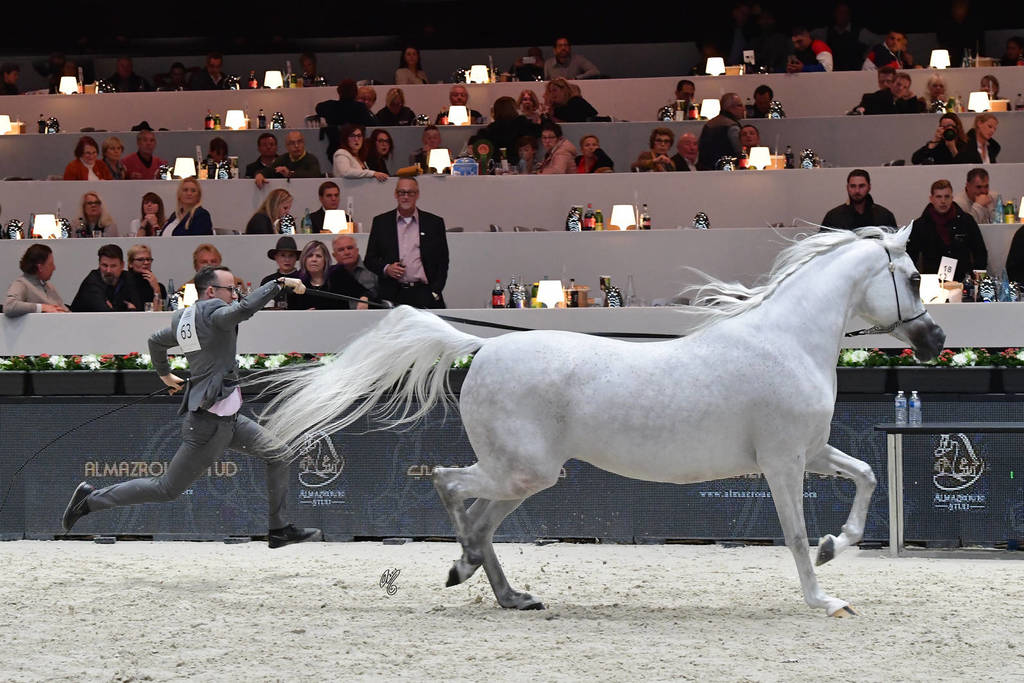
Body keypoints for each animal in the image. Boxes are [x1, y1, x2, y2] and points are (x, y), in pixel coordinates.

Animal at [259, 226, 945, 617]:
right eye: (914, 277)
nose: (936, 339)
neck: (788, 340)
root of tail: (482, 348)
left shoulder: (813, 451)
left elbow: (867, 478)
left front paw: (837, 548)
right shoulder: (782, 464)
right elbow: (796, 536)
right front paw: (823, 596)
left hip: (528, 477)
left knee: (479, 520)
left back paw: (504, 591)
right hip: (522, 471)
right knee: (450, 485)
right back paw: (468, 569)